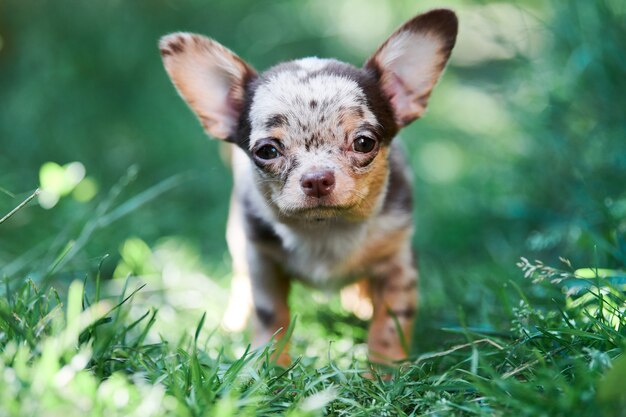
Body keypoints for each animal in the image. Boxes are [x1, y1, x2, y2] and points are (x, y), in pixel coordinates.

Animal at [158, 8, 456, 362]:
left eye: (364, 142)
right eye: (267, 151)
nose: (316, 179)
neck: (325, 231)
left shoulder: (398, 265)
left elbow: (389, 325)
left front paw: (385, 370)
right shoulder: (262, 262)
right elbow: (271, 317)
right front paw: (268, 366)